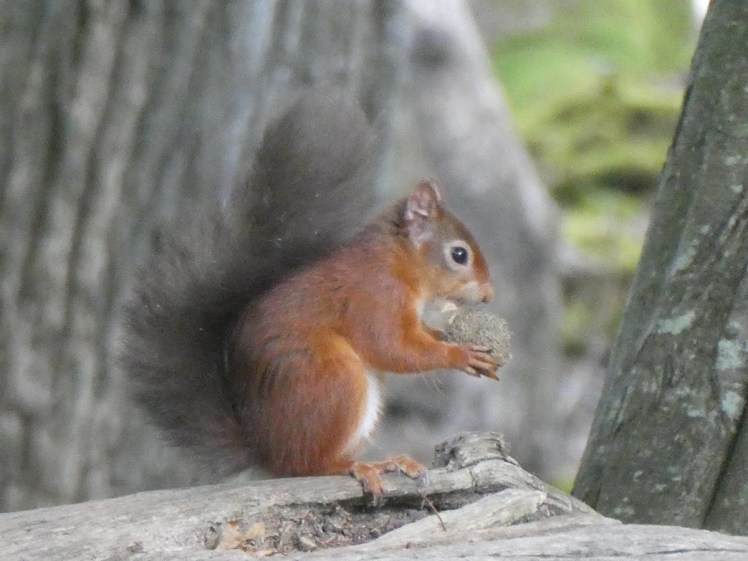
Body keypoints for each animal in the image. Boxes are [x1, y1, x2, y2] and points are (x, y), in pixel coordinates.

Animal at [121, 89, 498, 500]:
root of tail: (266, 450)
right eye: (459, 255)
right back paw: (362, 465)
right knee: (307, 466)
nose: (489, 295)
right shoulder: (375, 296)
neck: (398, 262)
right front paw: (459, 354)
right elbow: (392, 348)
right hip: (333, 379)